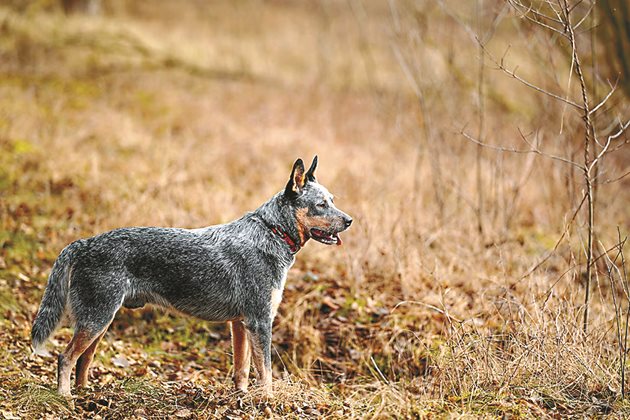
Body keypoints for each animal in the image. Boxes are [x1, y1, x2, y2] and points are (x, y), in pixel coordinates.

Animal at [32, 157, 354, 398]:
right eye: (321, 204)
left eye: (332, 200)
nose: (350, 220)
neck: (271, 232)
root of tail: (82, 243)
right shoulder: (260, 322)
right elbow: (266, 373)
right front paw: (268, 403)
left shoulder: (240, 324)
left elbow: (242, 370)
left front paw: (241, 399)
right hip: (96, 319)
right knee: (65, 357)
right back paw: (65, 397)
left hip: (100, 321)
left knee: (83, 360)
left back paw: (85, 393)